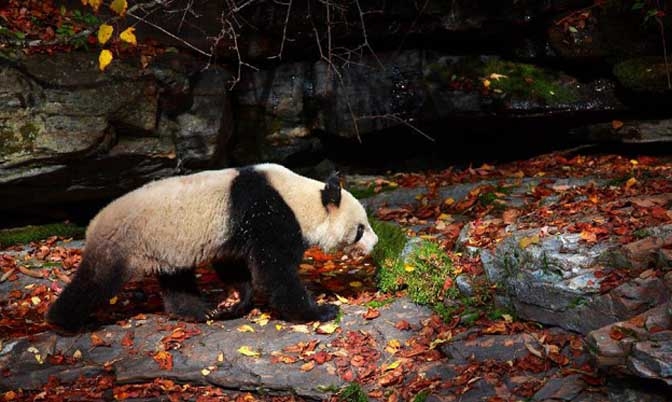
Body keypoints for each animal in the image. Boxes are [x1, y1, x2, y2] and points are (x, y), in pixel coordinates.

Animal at [46, 163, 378, 330]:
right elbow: (274, 272)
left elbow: (234, 265)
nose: (375, 243)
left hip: (167, 247)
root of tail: (93, 224)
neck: (300, 197)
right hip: (124, 242)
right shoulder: (268, 214)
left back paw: (197, 311)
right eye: (360, 229)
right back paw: (63, 321)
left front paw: (234, 303)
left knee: (177, 280)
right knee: (97, 280)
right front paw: (321, 311)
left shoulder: (235, 229)